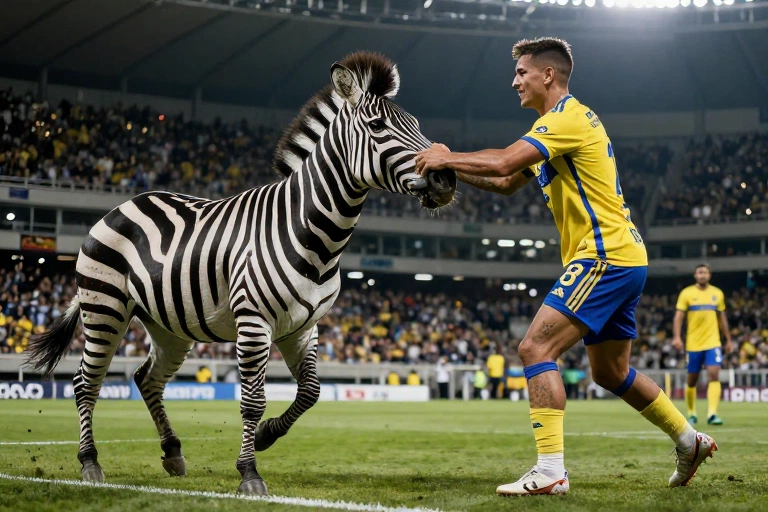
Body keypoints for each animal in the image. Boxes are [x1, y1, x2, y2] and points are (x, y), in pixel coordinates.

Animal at [25, 51, 456, 495]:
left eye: (417, 125)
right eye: (377, 127)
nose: (446, 177)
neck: (312, 233)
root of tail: (123, 205)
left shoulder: (302, 327)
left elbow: (312, 392)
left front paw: (266, 435)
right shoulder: (254, 322)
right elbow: (253, 402)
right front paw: (249, 472)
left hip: (168, 325)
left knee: (147, 378)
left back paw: (173, 452)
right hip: (105, 309)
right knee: (85, 382)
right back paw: (90, 463)